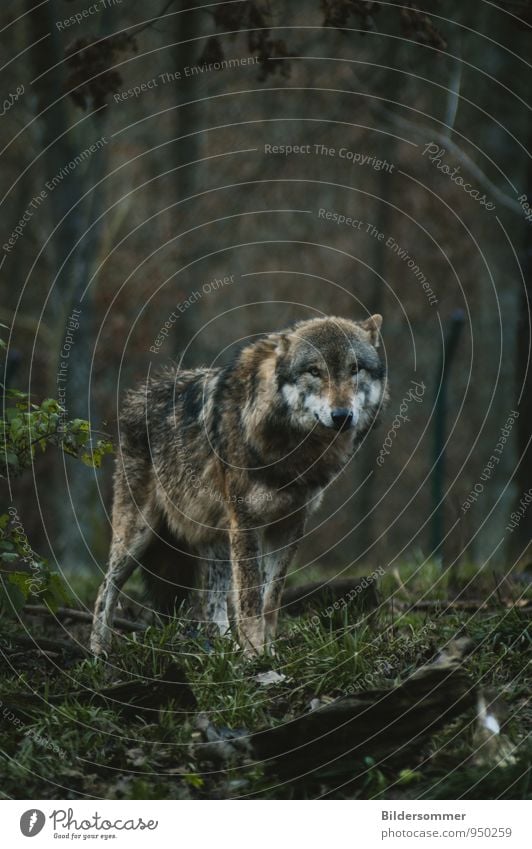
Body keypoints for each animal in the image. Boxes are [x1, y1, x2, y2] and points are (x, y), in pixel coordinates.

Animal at [90, 316, 390, 656]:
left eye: (355, 369)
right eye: (314, 371)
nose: (342, 416)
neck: (293, 450)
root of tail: (138, 394)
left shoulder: (290, 524)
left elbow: (270, 598)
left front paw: (267, 651)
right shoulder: (247, 523)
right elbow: (249, 598)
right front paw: (255, 654)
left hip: (218, 539)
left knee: (211, 602)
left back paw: (222, 648)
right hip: (138, 533)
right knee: (106, 588)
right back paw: (98, 652)